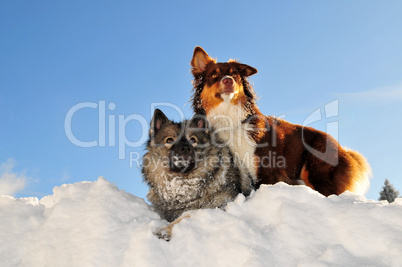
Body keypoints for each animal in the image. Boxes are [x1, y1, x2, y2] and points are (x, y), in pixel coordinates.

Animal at [191, 46, 370, 197]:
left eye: (234, 74)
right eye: (214, 75)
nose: (229, 80)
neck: (229, 118)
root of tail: (344, 150)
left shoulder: (268, 172)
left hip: (315, 170)